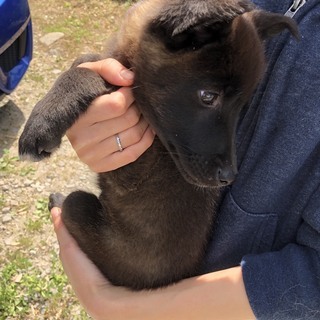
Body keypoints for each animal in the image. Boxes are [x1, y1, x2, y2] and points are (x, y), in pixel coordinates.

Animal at [18, 0, 298, 290]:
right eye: (208, 96)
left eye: (242, 105)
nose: (229, 176)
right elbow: (87, 61)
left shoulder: (130, 169)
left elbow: (89, 72)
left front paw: (42, 122)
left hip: (86, 219)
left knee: (72, 202)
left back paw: (58, 201)